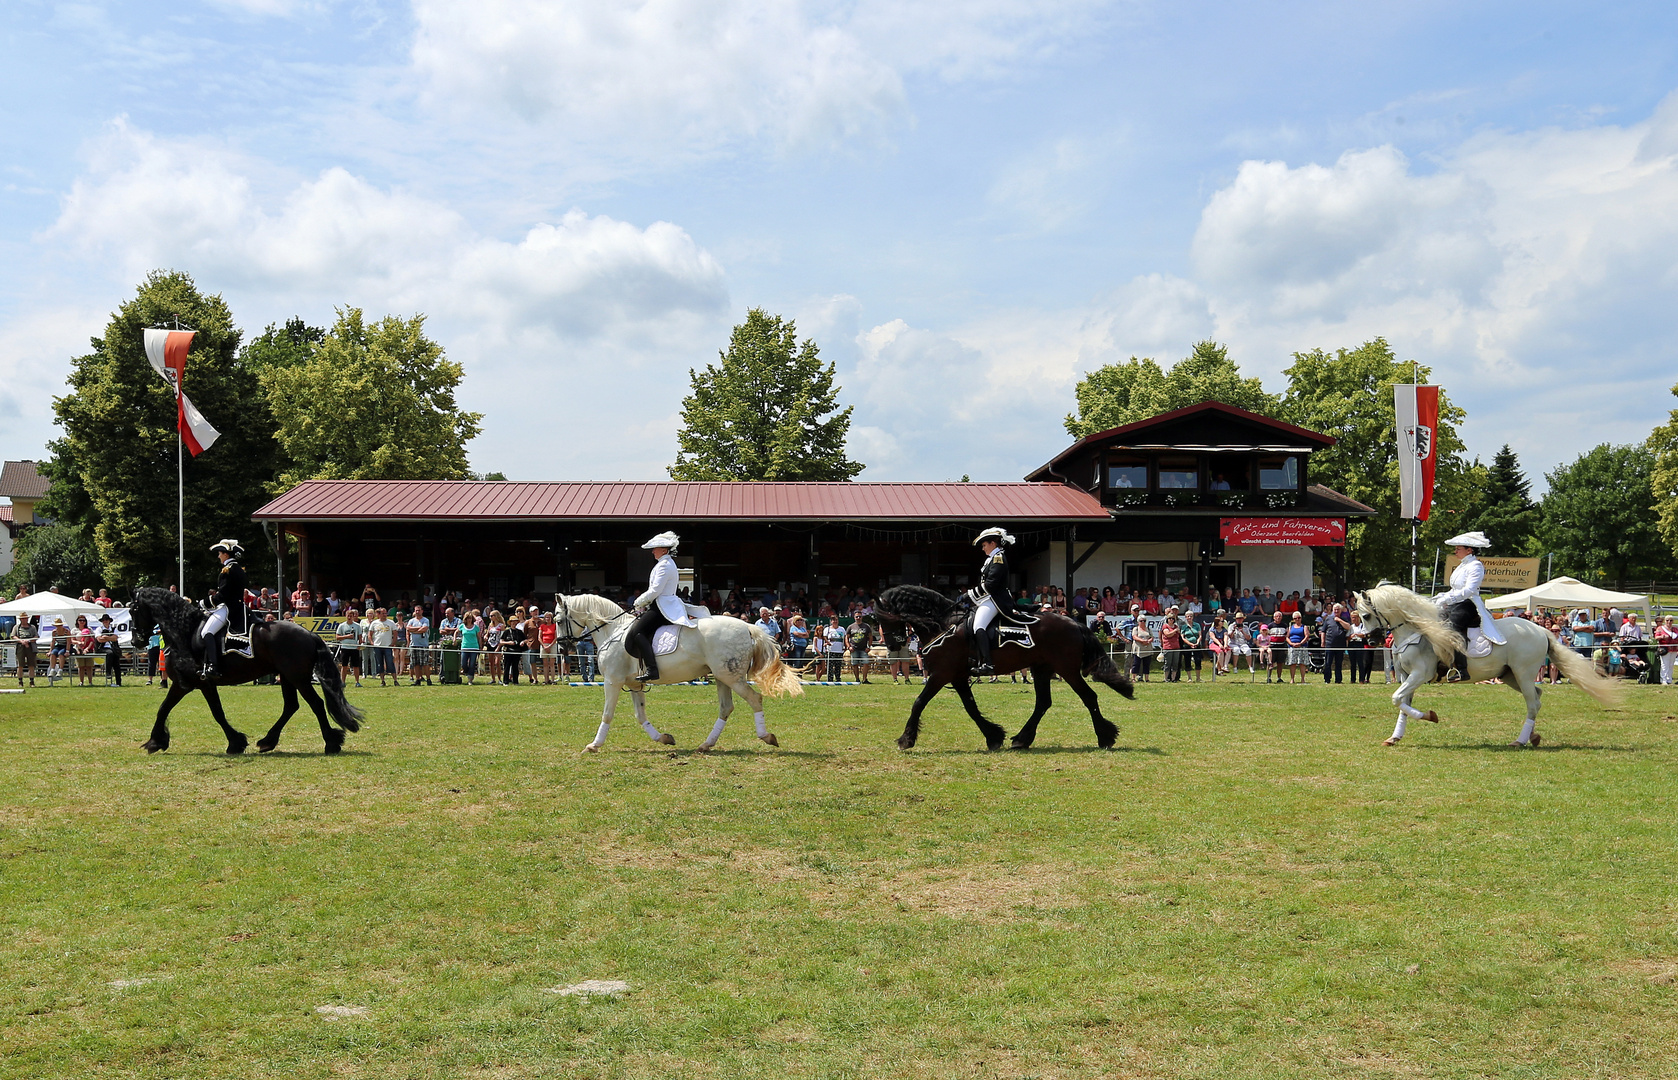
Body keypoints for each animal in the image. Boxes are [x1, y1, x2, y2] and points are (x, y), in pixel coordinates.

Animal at [128, 586, 367, 754]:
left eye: (133, 610)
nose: (136, 641)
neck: (184, 631)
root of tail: (309, 633)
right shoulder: (197, 684)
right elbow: (207, 711)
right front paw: (236, 742)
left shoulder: (187, 683)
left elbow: (171, 709)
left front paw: (155, 741)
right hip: (288, 677)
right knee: (291, 706)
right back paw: (268, 741)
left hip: (298, 678)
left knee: (315, 704)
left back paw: (331, 743)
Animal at [553, 590, 802, 751]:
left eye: (557, 620)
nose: (563, 647)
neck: (612, 631)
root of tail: (747, 626)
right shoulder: (634, 684)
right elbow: (640, 715)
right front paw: (664, 738)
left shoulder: (612, 681)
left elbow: (607, 714)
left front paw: (594, 745)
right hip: (722, 677)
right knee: (726, 708)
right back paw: (706, 744)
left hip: (731, 677)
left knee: (754, 699)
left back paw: (766, 736)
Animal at [872, 590, 1134, 751]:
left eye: (885, 618)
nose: (892, 645)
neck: (943, 625)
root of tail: (1075, 622)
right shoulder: (957, 677)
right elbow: (971, 708)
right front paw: (993, 736)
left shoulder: (941, 674)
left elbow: (919, 702)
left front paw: (906, 739)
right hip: (1042, 669)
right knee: (1043, 703)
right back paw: (1022, 739)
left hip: (1067, 670)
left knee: (1088, 696)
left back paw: (1105, 736)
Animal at [1355, 583, 1617, 751]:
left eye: (1366, 615)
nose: (1370, 642)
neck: (1415, 631)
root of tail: (1540, 629)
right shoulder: (1408, 676)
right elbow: (1402, 704)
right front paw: (1394, 737)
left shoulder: (1419, 674)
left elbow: (1397, 699)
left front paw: (1430, 716)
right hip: (1511, 676)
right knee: (1538, 696)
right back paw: (1532, 736)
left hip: (1523, 673)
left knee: (1533, 703)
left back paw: (1520, 741)